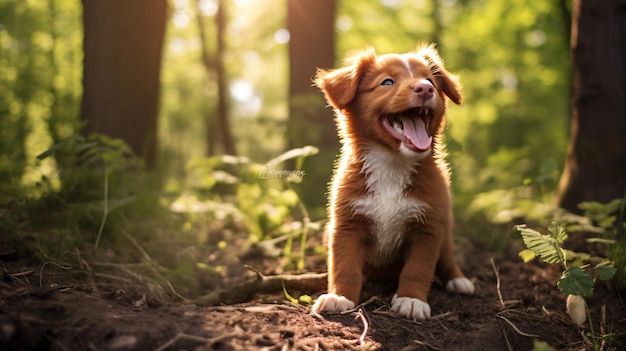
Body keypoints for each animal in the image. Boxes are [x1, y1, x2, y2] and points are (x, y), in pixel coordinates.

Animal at [310, 45, 476, 320]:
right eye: (387, 82)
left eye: (430, 80)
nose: (425, 89)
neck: (392, 163)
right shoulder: (346, 226)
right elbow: (345, 266)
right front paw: (340, 296)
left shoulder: (428, 229)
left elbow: (418, 268)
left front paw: (412, 300)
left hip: (445, 233)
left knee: (447, 259)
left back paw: (458, 280)